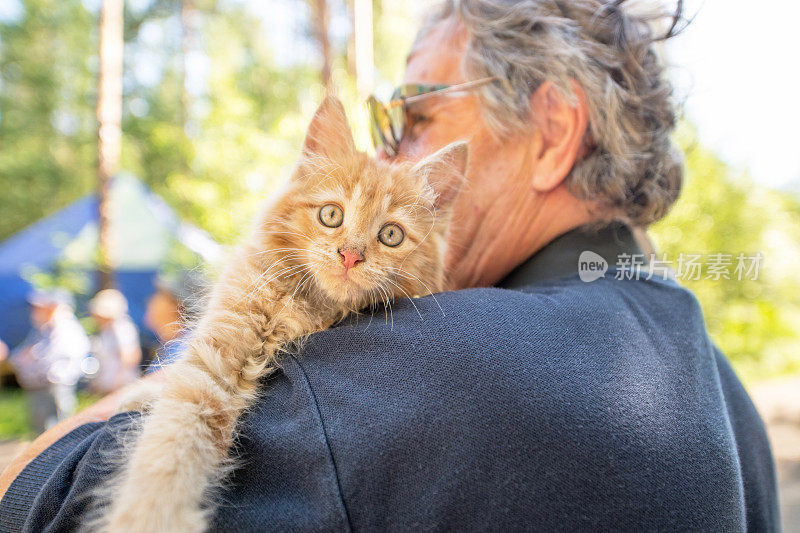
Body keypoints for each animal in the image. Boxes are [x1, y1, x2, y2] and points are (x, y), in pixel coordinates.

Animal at [98, 96, 468, 532]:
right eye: (331, 215)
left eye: (390, 235)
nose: (350, 255)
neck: (308, 306)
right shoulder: (218, 350)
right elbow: (170, 439)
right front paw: (148, 512)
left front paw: (151, 516)